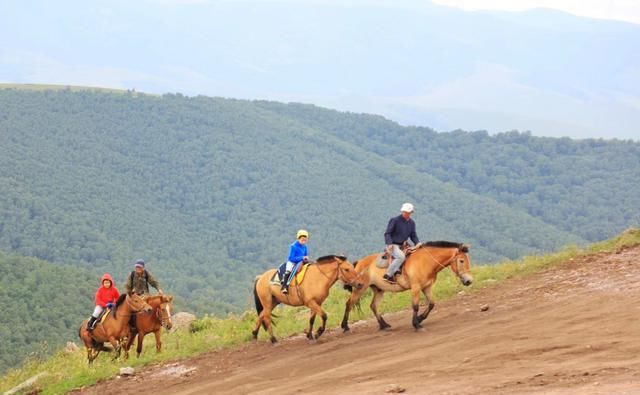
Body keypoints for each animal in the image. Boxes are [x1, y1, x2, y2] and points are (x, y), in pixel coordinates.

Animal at [342, 243, 472, 332]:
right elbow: (415, 306)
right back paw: (345, 327)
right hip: (359, 288)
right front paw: (416, 324)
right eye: (461, 260)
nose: (469, 281)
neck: (426, 261)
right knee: (349, 304)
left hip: (378, 290)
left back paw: (384, 325)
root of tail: (358, 263)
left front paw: (420, 318)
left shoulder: (427, 287)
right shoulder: (416, 287)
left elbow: (431, 304)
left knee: (373, 306)